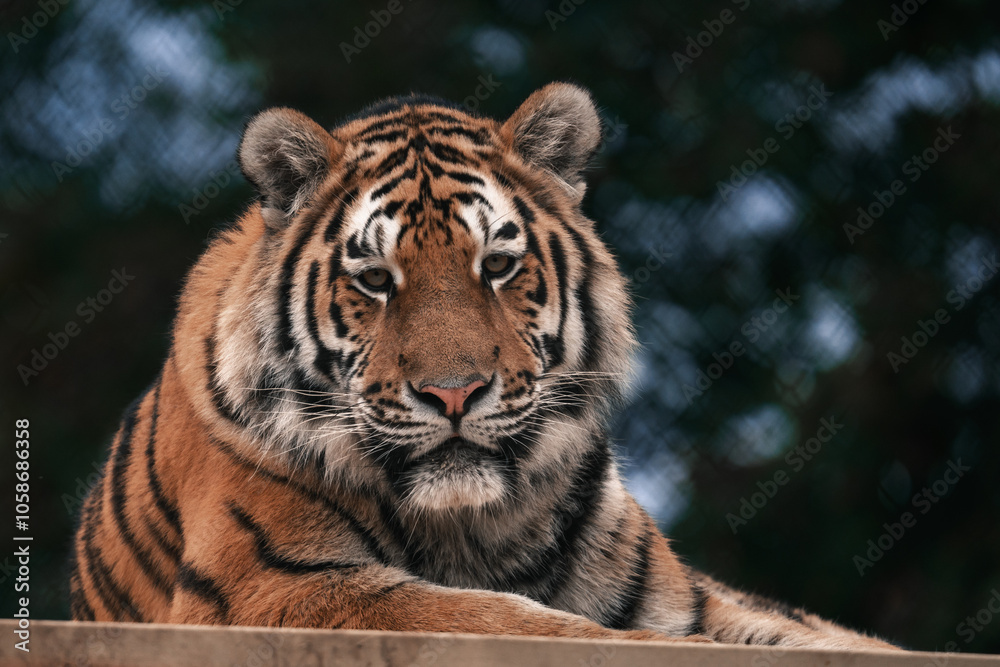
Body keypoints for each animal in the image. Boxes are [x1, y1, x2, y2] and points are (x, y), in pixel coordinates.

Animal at [69, 82, 897, 650]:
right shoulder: (278, 585)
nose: (454, 392)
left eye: (497, 265)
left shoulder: (687, 598)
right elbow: (516, 620)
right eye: (375, 279)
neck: (477, 522)